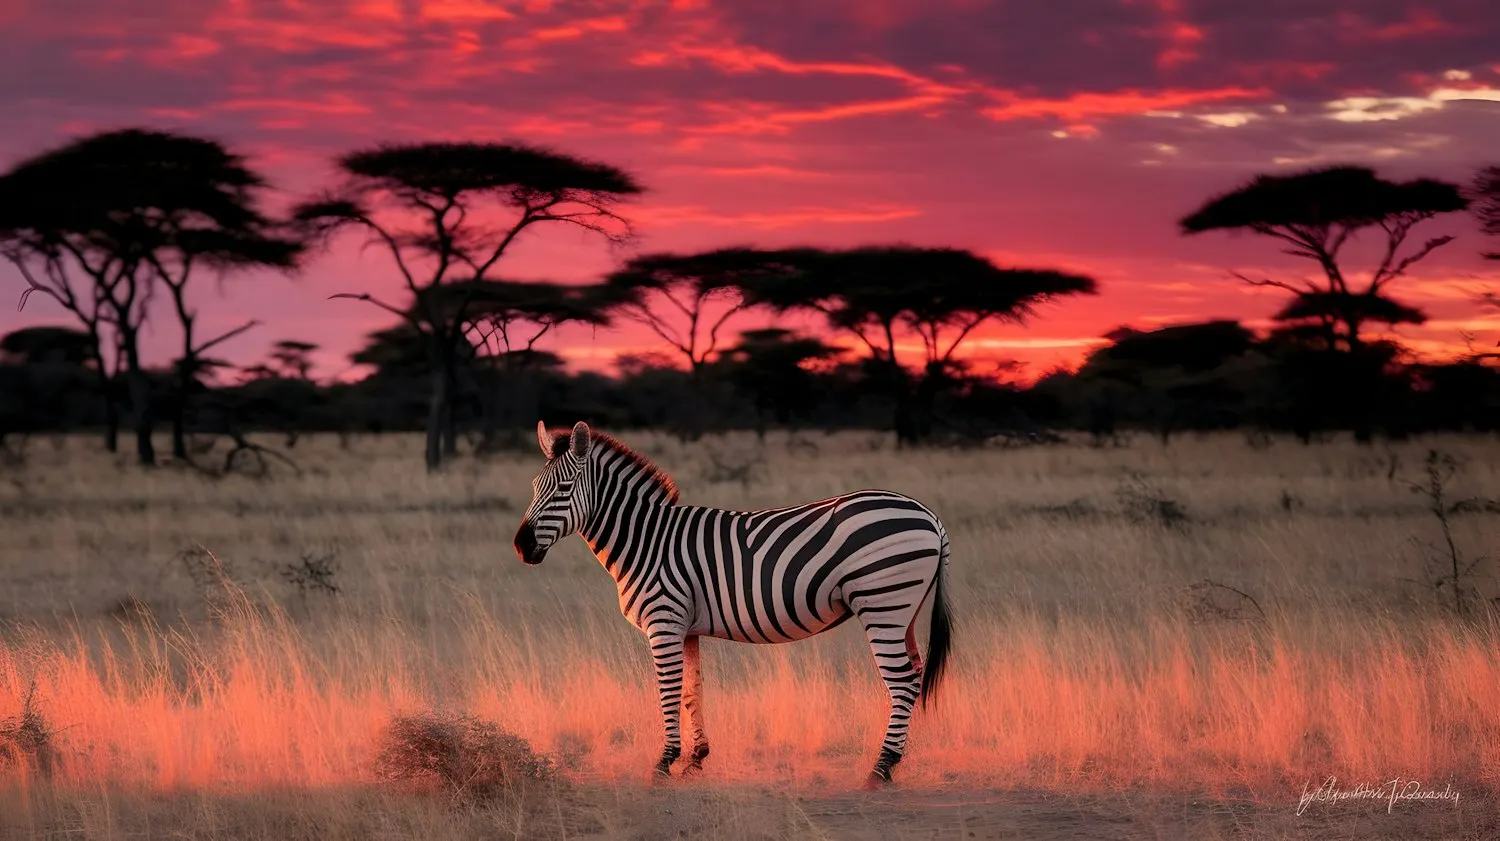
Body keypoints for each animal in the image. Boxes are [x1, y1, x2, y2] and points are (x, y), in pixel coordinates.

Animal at [512, 420, 954, 786]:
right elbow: (692, 689)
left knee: (901, 682)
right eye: (533, 487)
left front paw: (664, 762)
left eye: (563, 490)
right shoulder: (685, 627)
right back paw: (893, 762)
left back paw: (880, 769)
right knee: (913, 677)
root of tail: (930, 516)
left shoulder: (664, 621)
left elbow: (668, 690)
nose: (521, 547)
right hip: (903, 612)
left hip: (882, 604)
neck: (648, 540)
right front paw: (696, 758)